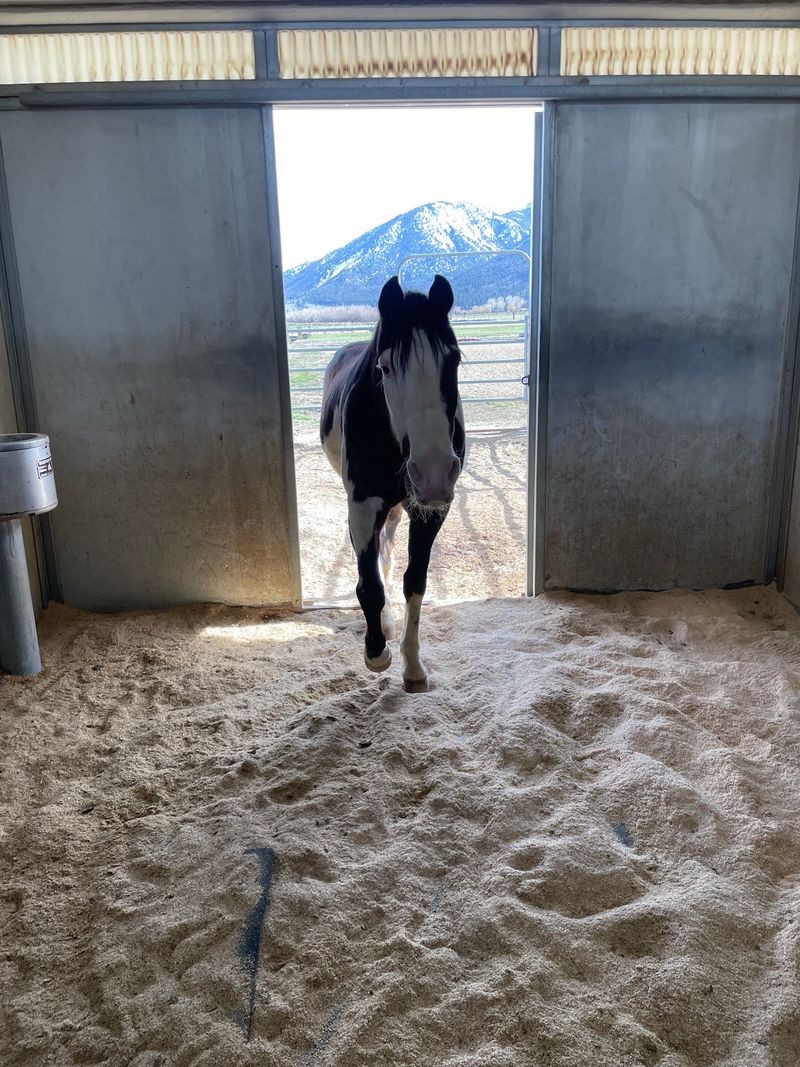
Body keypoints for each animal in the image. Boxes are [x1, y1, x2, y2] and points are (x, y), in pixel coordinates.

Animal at [320, 275, 465, 692]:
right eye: (384, 368)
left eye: (454, 360)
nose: (433, 472)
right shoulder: (362, 504)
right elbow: (369, 584)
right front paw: (377, 653)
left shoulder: (431, 511)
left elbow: (414, 582)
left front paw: (413, 667)